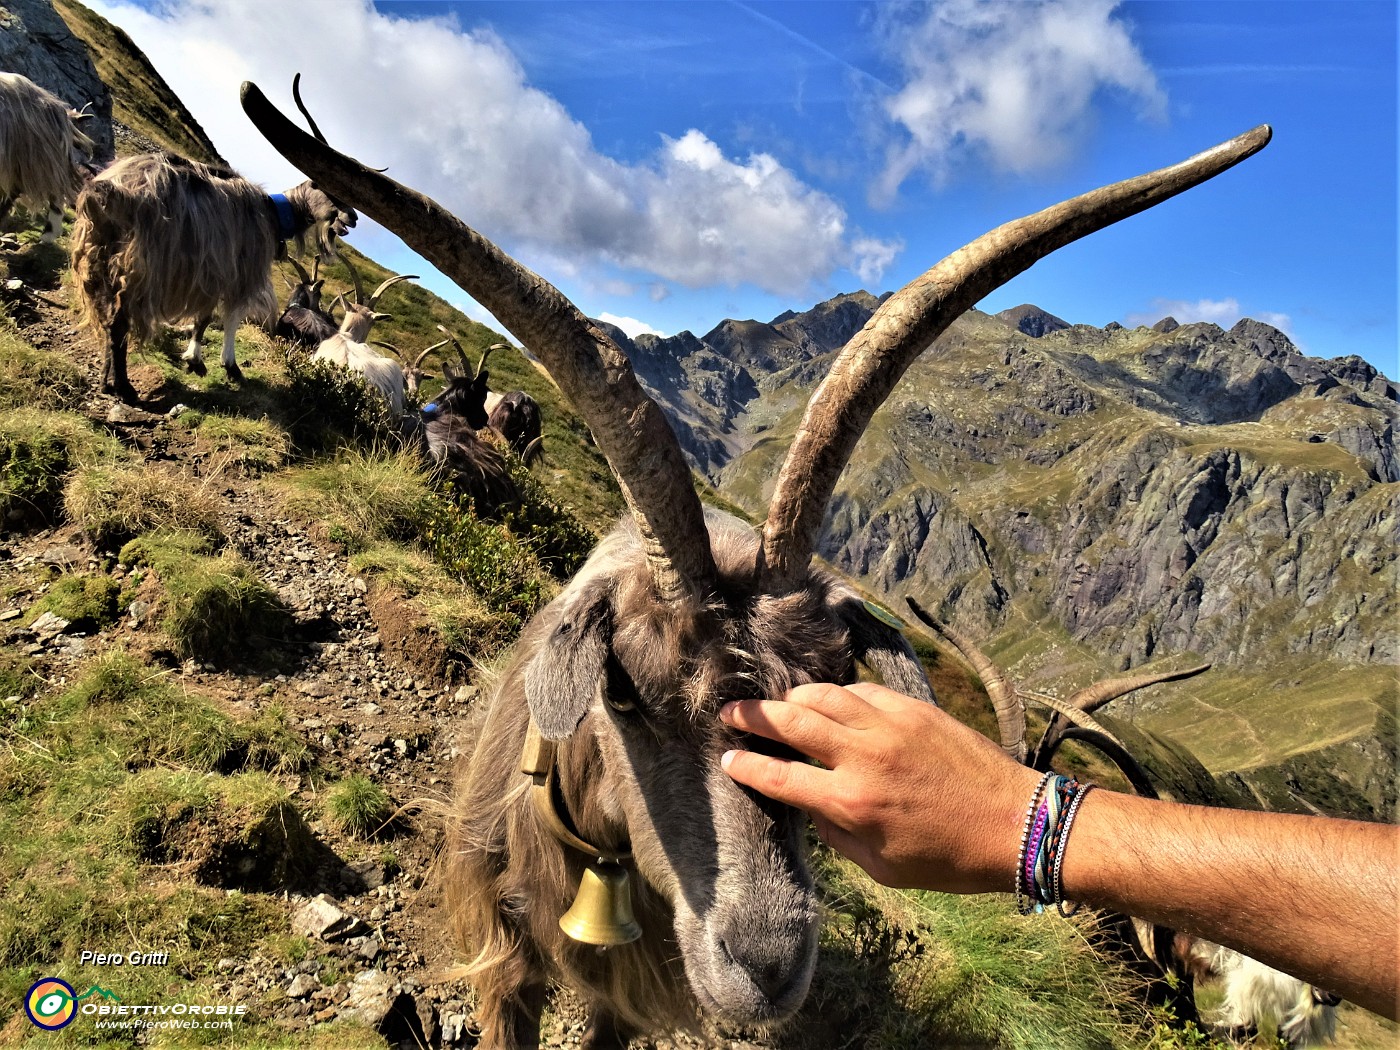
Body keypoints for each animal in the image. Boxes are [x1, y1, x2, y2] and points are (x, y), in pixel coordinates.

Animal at [70, 75, 355, 406]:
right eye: (327, 189)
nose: (352, 218)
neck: (273, 212)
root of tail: (111, 191)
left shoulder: (210, 272)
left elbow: (204, 316)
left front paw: (196, 360)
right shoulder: (235, 271)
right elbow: (227, 317)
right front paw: (226, 366)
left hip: (99, 255)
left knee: (105, 315)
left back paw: (106, 380)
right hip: (140, 266)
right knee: (119, 320)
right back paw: (125, 388)